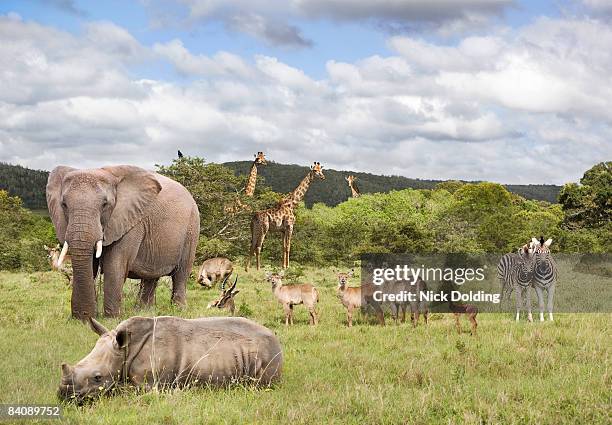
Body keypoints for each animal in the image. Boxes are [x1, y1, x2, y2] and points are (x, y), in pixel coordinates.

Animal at [48, 165, 201, 318]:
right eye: (64, 204)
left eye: (105, 204)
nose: (85, 316)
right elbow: (90, 265)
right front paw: (84, 319)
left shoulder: (130, 222)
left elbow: (115, 264)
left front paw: (112, 318)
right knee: (152, 276)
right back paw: (144, 312)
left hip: (192, 228)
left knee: (181, 273)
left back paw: (179, 310)